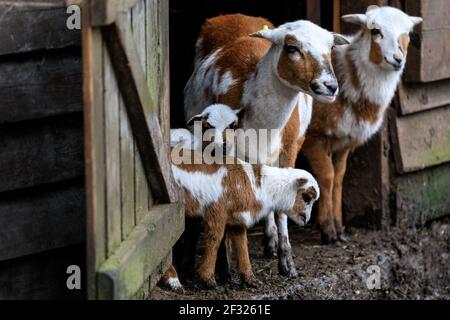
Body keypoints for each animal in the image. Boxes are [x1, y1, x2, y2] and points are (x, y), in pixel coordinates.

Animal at [162, 151, 320, 288]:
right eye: (307, 197)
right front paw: (208, 280)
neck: (257, 185)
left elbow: (242, 244)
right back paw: (173, 280)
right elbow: (214, 240)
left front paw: (250, 279)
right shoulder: (217, 211)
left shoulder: (237, 218)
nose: (306, 220)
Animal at [183, 13, 348, 276]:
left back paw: (270, 241)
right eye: (292, 48)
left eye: (331, 47)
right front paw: (225, 266)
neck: (264, 123)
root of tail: (235, 15)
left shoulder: (290, 149)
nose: (330, 86)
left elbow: (282, 203)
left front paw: (287, 263)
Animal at [298, 5, 422, 242]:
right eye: (375, 31)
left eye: (408, 34)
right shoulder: (314, 136)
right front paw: (327, 229)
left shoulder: (344, 140)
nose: (398, 59)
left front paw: (339, 228)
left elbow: (339, 178)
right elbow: (326, 177)